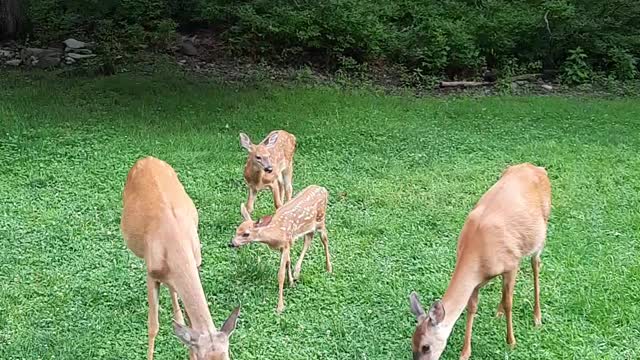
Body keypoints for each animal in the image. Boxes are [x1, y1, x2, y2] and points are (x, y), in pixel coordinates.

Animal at [120, 157, 240, 360]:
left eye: (228, 357)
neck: (175, 243)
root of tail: (147, 158)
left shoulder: (196, 262)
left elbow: (189, 324)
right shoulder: (151, 273)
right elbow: (153, 326)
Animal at [410, 164, 552, 360]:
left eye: (426, 347)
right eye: (412, 343)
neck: (477, 253)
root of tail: (538, 168)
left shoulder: (512, 265)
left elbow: (509, 302)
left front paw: (511, 342)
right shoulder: (476, 281)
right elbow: (471, 307)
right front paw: (465, 352)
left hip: (541, 233)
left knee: (536, 265)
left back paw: (537, 318)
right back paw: (498, 312)